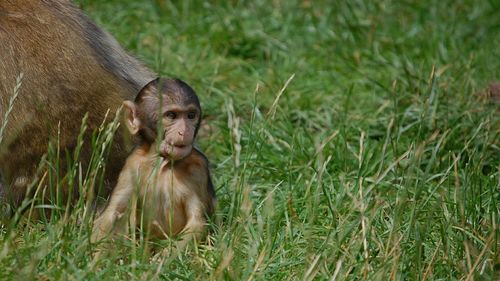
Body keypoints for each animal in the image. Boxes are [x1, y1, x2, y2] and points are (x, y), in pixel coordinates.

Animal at [91, 77, 215, 247]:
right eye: (171, 115)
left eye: (191, 115)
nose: (184, 131)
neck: (162, 162)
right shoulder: (132, 164)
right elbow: (113, 212)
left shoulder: (199, 169)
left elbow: (197, 222)